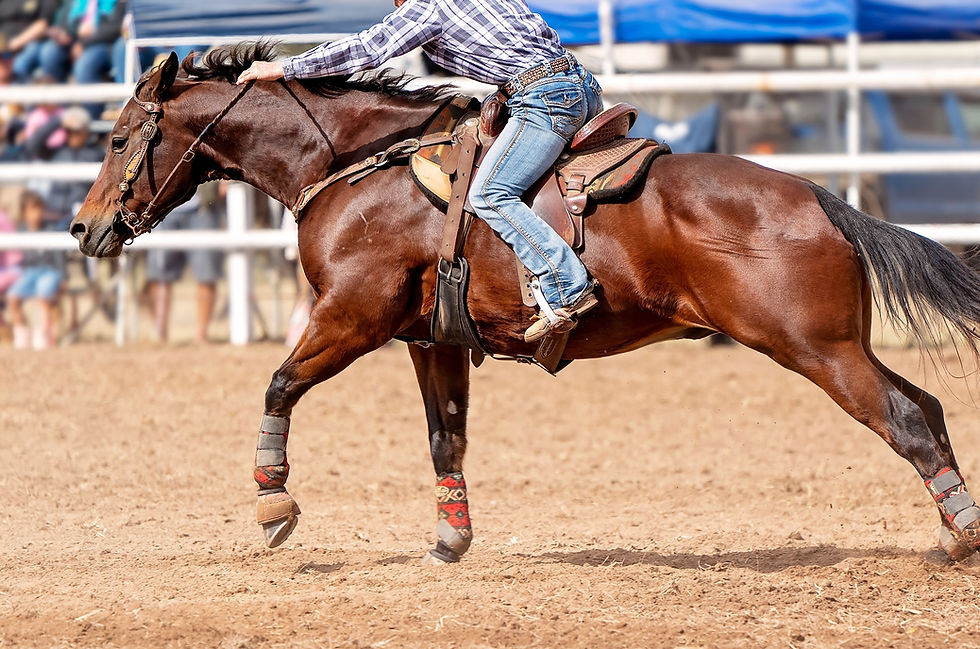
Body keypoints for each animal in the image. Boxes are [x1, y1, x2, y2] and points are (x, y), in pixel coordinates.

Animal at [70, 44, 980, 564]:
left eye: (114, 139)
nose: (84, 226)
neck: (358, 166)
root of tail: (822, 198)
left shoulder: (351, 316)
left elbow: (279, 385)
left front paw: (273, 503)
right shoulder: (427, 339)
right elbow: (445, 437)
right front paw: (450, 540)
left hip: (818, 349)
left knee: (906, 418)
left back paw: (959, 537)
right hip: (841, 346)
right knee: (927, 408)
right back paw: (950, 530)